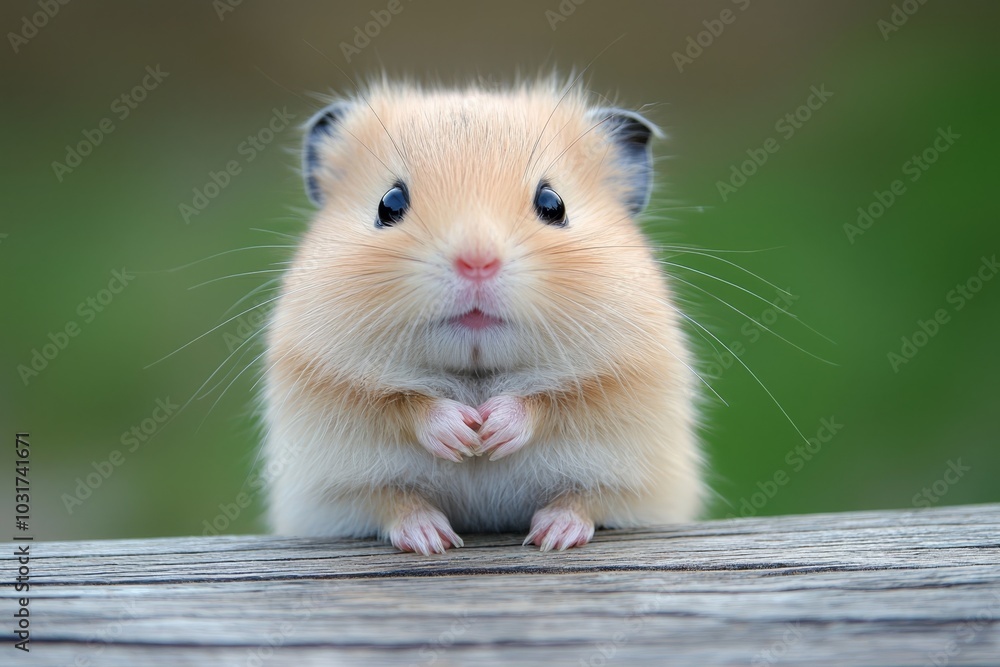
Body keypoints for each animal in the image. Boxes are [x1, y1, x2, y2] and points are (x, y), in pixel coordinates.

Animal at [262, 78, 703, 554]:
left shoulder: (617, 381)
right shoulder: (332, 384)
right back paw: (432, 539)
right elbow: (404, 404)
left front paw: (489, 433)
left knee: (584, 499)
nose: (476, 262)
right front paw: (464, 437)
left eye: (554, 204)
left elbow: (549, 401)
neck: (477, 374)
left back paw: (553, 536)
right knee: (394, 502)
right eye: (388, 203)